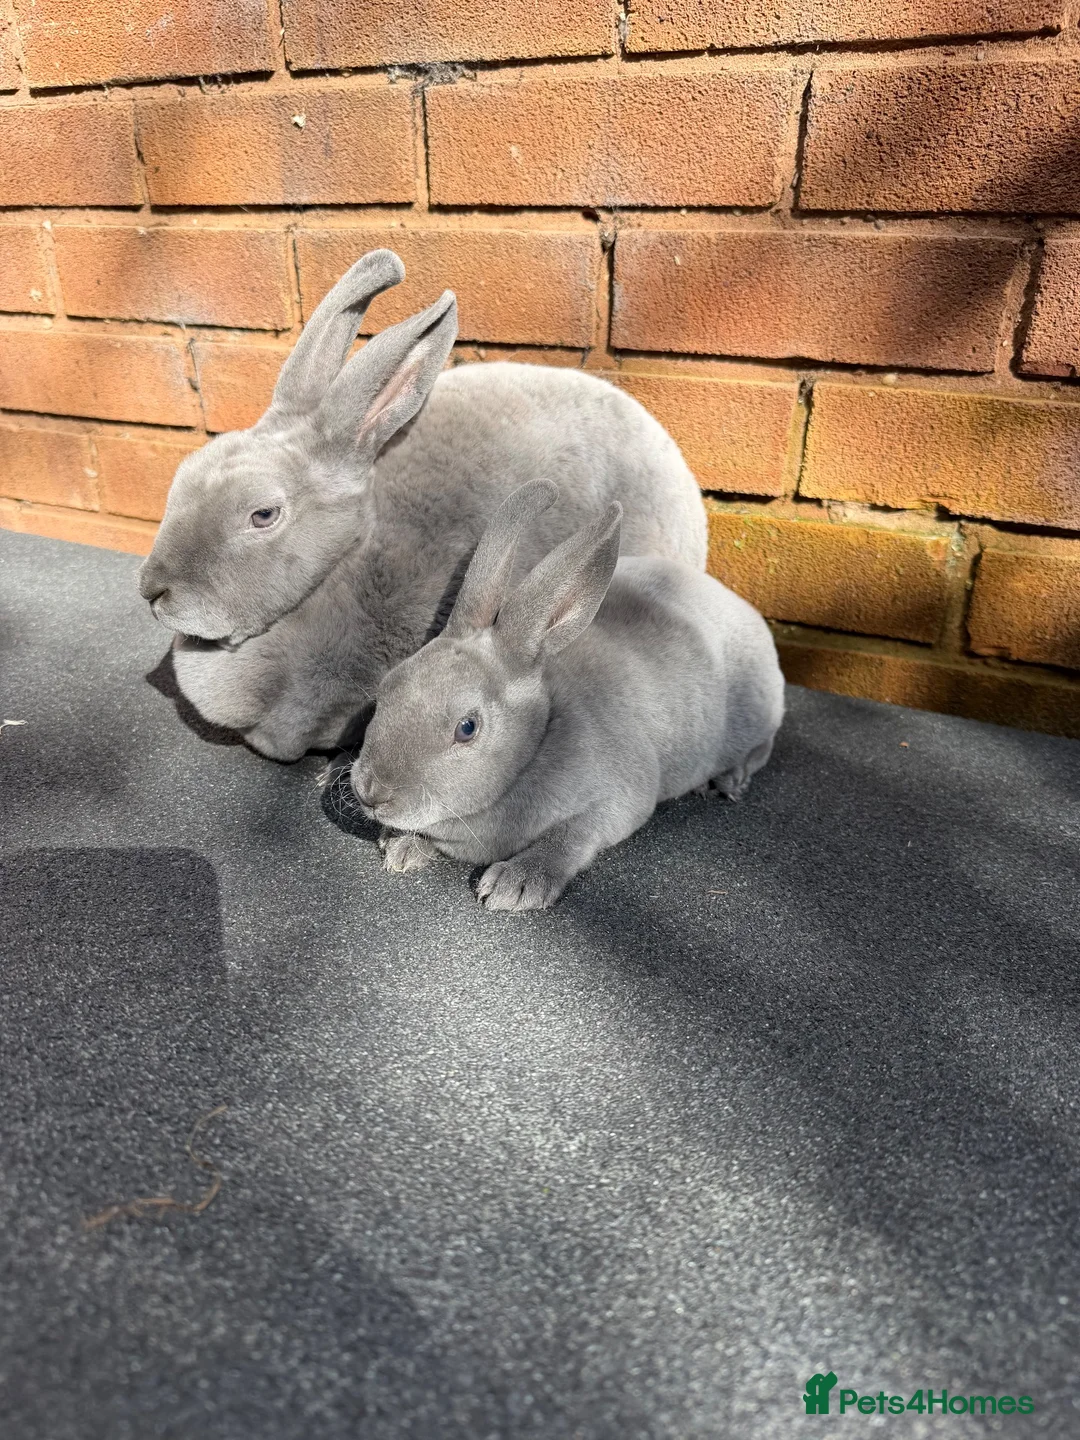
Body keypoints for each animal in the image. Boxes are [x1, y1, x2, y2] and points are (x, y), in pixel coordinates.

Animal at [350, 480, 785, 911]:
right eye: (386, 689)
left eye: (467, 728)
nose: (371, 792)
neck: (538, 740)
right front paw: (401, 848)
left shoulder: (615, 799)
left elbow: (571, 838)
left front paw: (515, 885)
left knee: (762, 747)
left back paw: (727, 780)